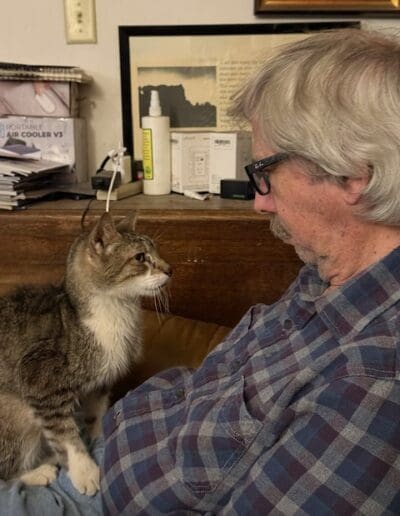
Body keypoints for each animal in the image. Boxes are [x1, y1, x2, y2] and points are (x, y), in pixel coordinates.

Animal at [0, 211, 172, 495]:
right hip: (15, 413)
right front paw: (85, 470)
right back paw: (38, 472)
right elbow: (65, 434)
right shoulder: (41, 381)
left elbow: (96, 412)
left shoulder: (100, 382)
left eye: (157, 251)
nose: (170, 269)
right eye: (140, 257)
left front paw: (98, 435)